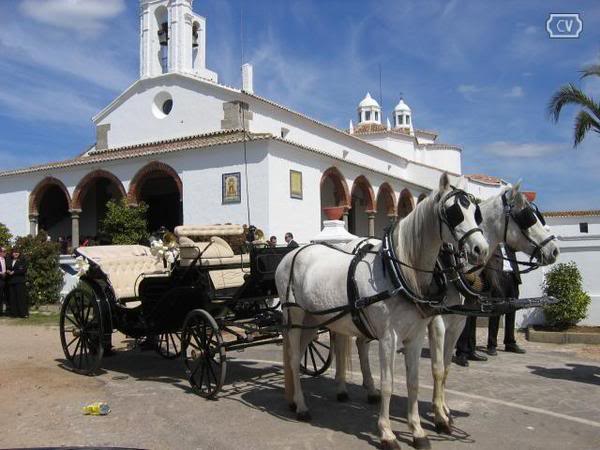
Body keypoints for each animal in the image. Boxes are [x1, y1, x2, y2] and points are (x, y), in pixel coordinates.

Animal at [274, 173, 490, 450]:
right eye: (454, 213)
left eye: (476, 213)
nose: (480, 250)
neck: (399, 272)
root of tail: (293, 252)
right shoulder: (389, 338)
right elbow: (388, 384)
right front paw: (387, 433)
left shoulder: (415, 336)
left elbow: (413, 382)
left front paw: (418, 431)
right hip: (296, 318)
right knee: (292, 359)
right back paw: (301, 406)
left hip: (314, 320)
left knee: (299, 355)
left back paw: (293, 400)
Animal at [336, 181, 560, 434]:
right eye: (527, 216)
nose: (554, 250)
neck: (451, 267)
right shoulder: (438, 323)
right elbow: (437, 368)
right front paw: (439, 417)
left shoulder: (458, 322)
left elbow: (447, 367)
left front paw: (443, 410)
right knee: (340, 341)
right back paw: (342, 387)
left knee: (360, 342)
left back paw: (371, 388)